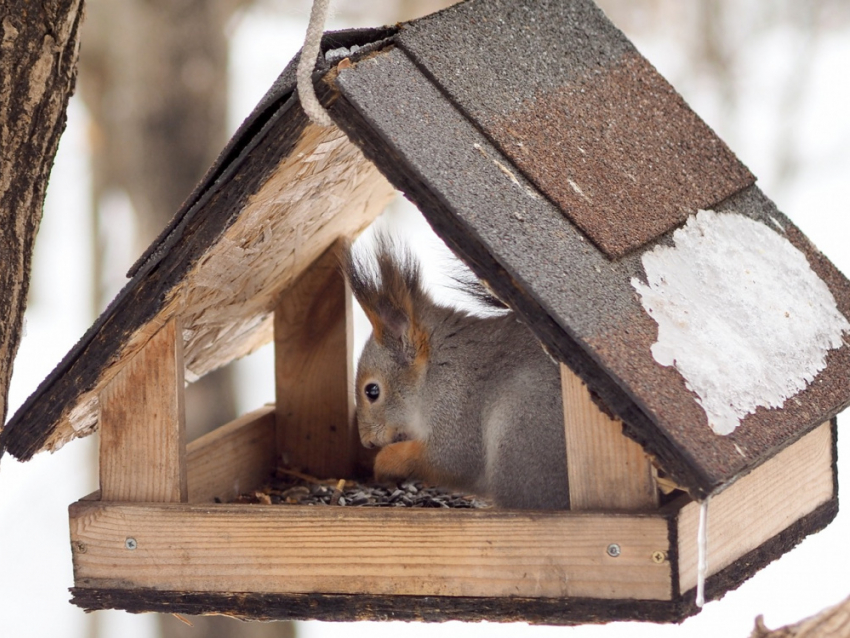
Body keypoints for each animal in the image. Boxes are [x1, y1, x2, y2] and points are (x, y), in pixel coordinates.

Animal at [342, 238, 568, 512]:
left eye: (372, 391)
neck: (433, 374)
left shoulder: (456, 407)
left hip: (520, 432)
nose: (367, 443)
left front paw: (384, 462)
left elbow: (448, 460)